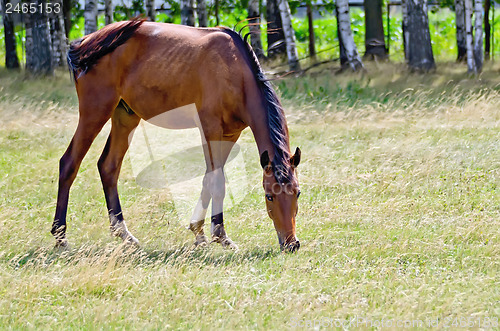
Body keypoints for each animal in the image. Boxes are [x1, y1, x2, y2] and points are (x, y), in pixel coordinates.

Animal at [52, 18, 300, 252]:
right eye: (269, 196)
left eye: (297, 193)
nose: (291, 244)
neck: (234, 70)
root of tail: (85, 43)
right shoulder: (210, 130)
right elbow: (216, 180)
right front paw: (218, 235)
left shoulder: (230, 135)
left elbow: (209, 178)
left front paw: (200, 232)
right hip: (95, 112)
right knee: (69, 163)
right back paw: (60, 236)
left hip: (125, 117)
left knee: (108, 166)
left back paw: (124, 233)